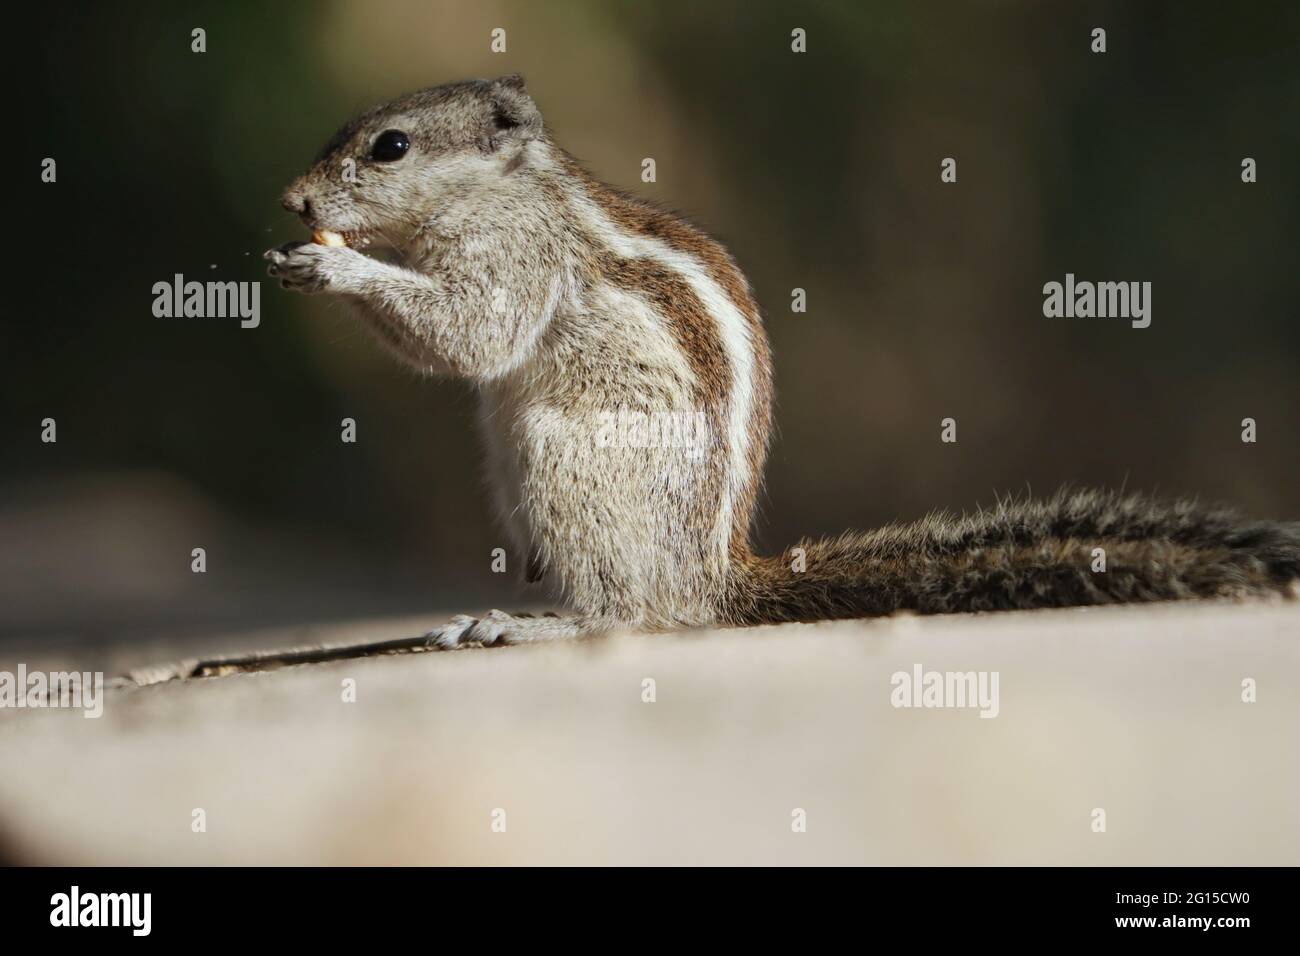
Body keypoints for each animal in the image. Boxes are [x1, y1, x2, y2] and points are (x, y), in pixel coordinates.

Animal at [258, 72, 1294, 642]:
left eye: (390, 146)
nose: (292, 200)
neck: (504, 190)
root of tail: (713, 576)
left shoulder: (515, 258)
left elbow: (473, 332)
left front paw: (334, 268)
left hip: (568, 460)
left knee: (631, 610)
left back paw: (527, 624)